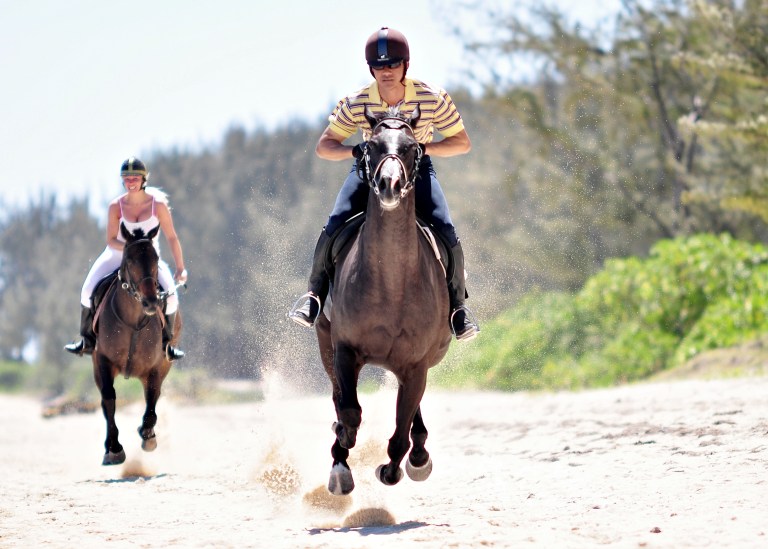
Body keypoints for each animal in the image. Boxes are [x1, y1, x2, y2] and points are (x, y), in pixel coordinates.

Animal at [92, 223, 181, 465]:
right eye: (130, 260)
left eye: (156, 259)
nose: (151, 301)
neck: (133, 321)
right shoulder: (102, 361)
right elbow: (109, 400)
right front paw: (114, 448)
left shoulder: (157, 367)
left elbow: (152, 401)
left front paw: (147, 435)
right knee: (105, 400)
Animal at [315, 105, 452, 495]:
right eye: (372, 146)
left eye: (410, 147)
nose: (390, 184)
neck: (391, 283)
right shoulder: (344, 349)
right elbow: (348, 412)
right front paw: (341, 462)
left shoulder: (416, 364)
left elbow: (400, 434)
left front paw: (394, 468)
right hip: (324, 341)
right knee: (340, 400)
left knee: (411, 414)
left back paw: (418, 456)